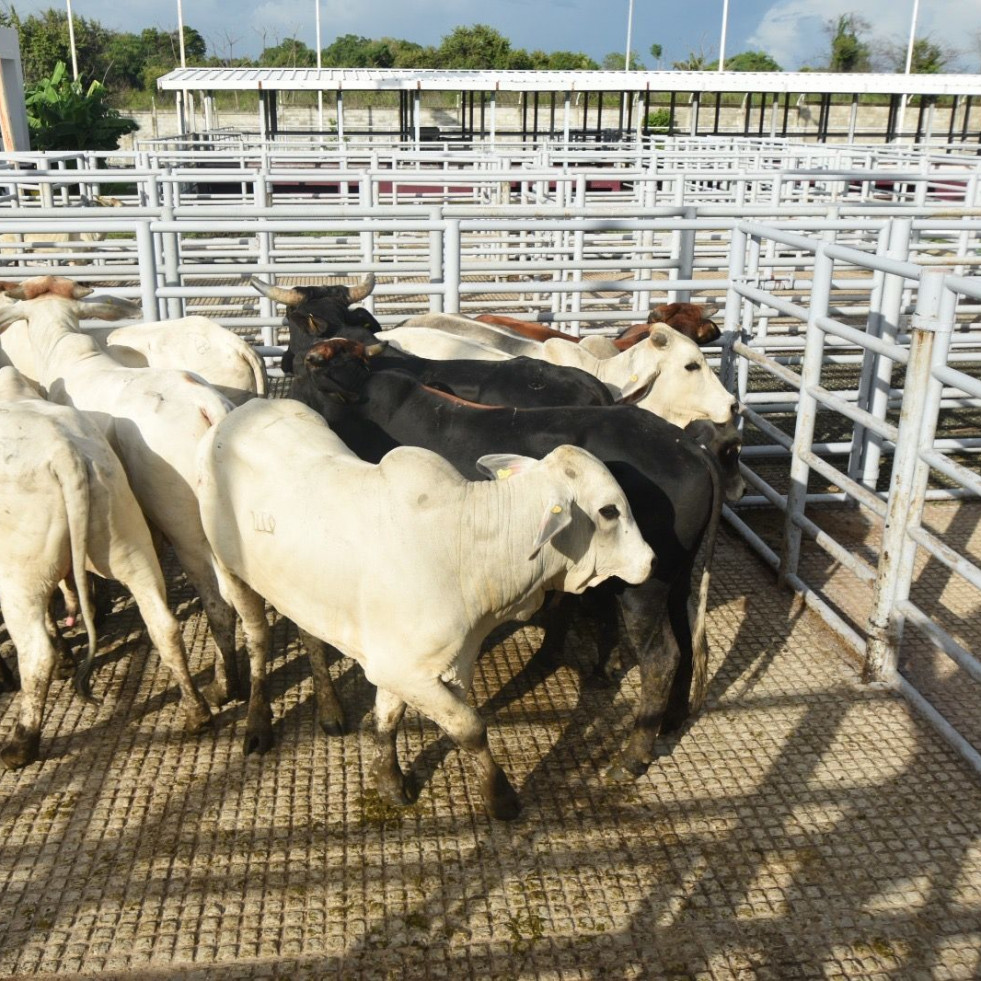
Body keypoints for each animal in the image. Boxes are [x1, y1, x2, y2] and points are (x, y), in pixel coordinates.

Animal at [0, 366, 212, 764]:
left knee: (35, 652)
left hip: (19, 575)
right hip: (127, 541)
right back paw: (197, 713)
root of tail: (65, 455)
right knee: (163, 625)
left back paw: (20, 745)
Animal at [195, 398, 652, 820]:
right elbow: (470, 727)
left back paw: (330, 710)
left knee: (309, 632)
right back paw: (258, 724)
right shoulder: (406, 670)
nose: (649, 560)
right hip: (229, 568)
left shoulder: (418, 664)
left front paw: (389, 779)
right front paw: (500, 797)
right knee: (257, 636)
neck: (468, 542)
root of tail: (237, 411)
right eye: (609, 511)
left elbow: (388, 715)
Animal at [296, 340, 744, 776]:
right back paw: (669, 719)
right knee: (687, 641)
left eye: (317, 372)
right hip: (677, 577)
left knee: (661, 658)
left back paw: (633, 756)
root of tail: (688, 446)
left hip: (642, 584)